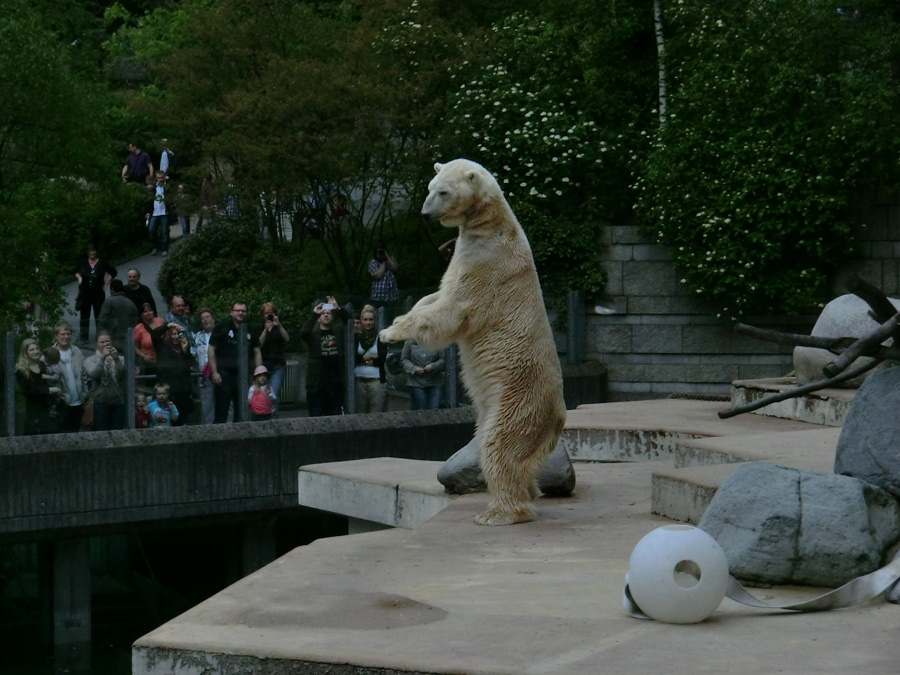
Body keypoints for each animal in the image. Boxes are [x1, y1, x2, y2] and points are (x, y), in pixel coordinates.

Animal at [382, 160, 568, 528]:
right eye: (430, 186)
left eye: (442, 191)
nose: (424, 214)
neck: (493, 225)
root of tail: (558, 415)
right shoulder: (466, 252)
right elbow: (434, 295)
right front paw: (398, 318)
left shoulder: (486, 265)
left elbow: (452, 310)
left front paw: (389, 332)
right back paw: (530, 491)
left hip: (518, 398)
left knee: (500, 445)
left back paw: (500, 512)